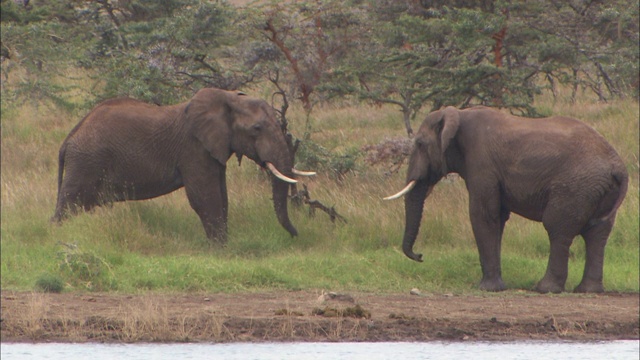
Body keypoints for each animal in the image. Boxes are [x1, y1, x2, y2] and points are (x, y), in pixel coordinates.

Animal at [52, 88, 316, 243]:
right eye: (257, 129)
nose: (295, 236)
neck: (227, 98)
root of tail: (70, 137)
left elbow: (222, 195)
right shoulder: (193, 149)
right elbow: (205, 197)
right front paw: (220, 250)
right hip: (86, 161)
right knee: (70, 203)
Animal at [388, 105, 628, 294]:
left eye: (420, 144)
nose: (420, 256)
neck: (459, 113)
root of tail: (619, 167)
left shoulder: (482, 164)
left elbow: (483, 215)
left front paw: (487, 289)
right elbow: (498, 218)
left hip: (575, 187)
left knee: (558, 228)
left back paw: (544, 289)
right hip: (596, 190)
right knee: (597, 235)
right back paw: (587, 290)